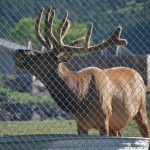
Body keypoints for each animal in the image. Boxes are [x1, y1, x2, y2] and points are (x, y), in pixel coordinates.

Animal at [13, 6, 149, 137]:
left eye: (43, 56)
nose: (19, 51)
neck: (80, 97)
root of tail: (138, 74)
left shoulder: (105, 119)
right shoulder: (80, 125)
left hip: (141, 109)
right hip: (116, 125)